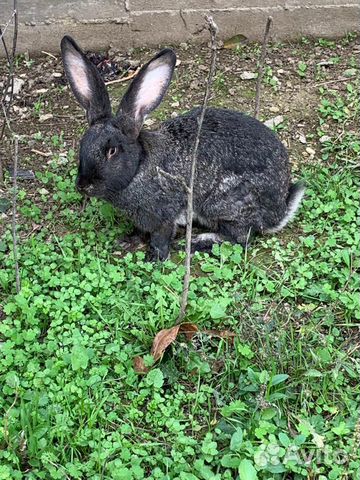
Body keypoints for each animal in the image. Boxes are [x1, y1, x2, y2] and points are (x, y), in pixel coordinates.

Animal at [61, 36, 304, 262]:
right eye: (83, 145)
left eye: (111, 151)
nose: (83, 185)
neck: (139, 167)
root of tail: (277, 213)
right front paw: (127, 240)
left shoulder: (163, 215)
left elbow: (161, 236)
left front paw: (155, 259)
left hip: (222, 203)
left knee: (240, 239)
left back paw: (199, 241)